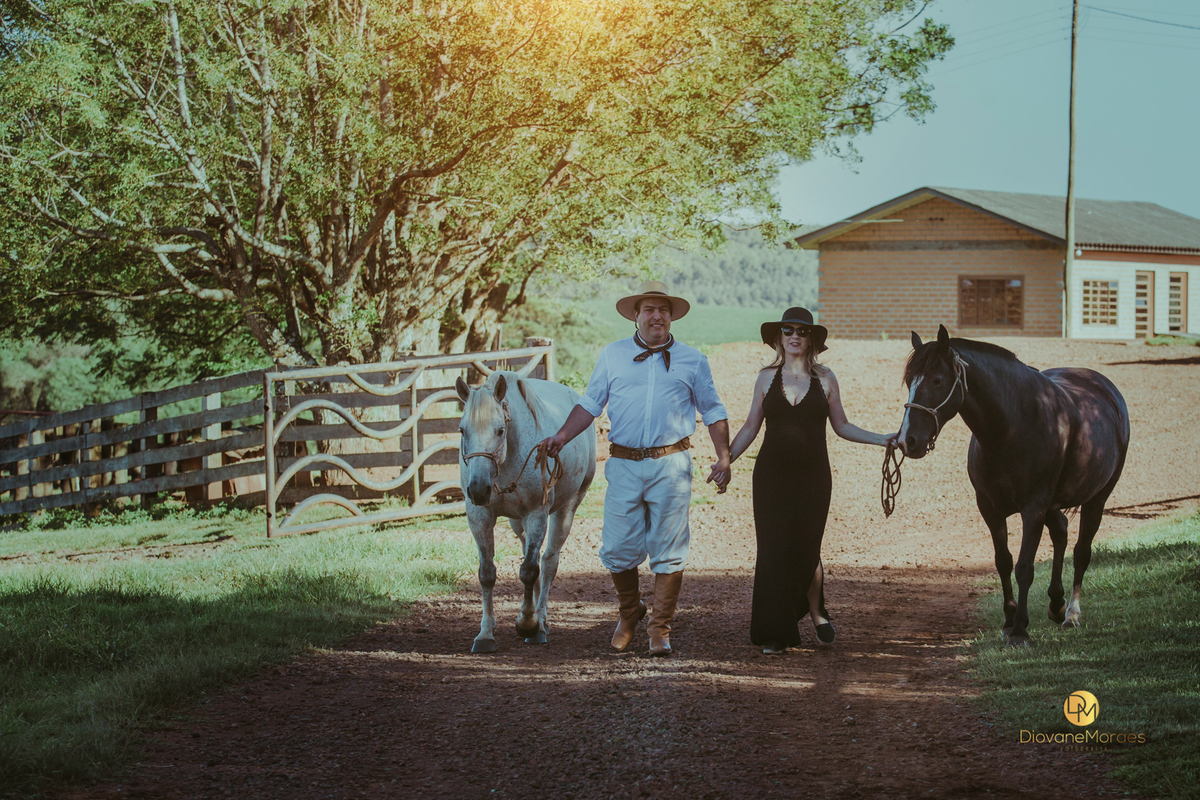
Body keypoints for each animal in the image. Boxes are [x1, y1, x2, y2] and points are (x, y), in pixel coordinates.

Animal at [455, 371, 596, 653]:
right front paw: (485, 634)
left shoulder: (536, 514)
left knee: (548, 561)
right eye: (463, 430)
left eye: (500, 430)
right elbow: (487, 574)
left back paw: (540, 620)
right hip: (516, 522)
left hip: (567, 508)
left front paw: (529, 624)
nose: (478, 489)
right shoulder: (479, 517)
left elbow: (529, 570)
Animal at [898, 325, 1130, 647]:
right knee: (1060, 532)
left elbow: (1024, 567)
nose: (908, 440)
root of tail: (1105, 389)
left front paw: (1020, 629)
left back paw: (1071, 614)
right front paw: (1009, 621)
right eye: (909, 381)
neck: (1011, 426)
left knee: (1082, 551)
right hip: (1053, 505)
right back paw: (1056, 604)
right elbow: (1004, 561)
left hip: (1097, 498)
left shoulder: (1033, 508)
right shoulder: (990, 508)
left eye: (937, 380)